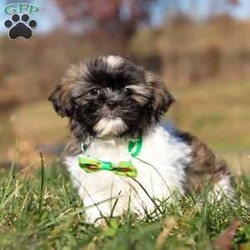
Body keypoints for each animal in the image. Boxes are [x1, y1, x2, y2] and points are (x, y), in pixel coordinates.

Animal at [48, 55, 232, 224]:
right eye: (94, 91)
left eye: (127, 91)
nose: (111, 102)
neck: (116, 141)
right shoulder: (95, 178)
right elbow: (100, 203)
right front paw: (100, 222)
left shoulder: (158, 173)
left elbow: (153, 197)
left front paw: (151, 220)